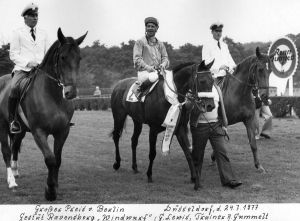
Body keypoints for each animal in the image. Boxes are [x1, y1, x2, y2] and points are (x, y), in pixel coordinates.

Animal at [0, 27, 86, 200]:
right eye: (63, 57)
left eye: (79, 58)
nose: (71, 93)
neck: (53, 96)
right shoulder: (39, 132)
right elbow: (50, 159)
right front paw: (50, 190)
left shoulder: (62, 131)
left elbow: (58, 159)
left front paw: (55, 185)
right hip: (2, 125)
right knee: (6, 151)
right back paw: (12, 181)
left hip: (19, 131)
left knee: (15, 146)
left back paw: (15, 171)